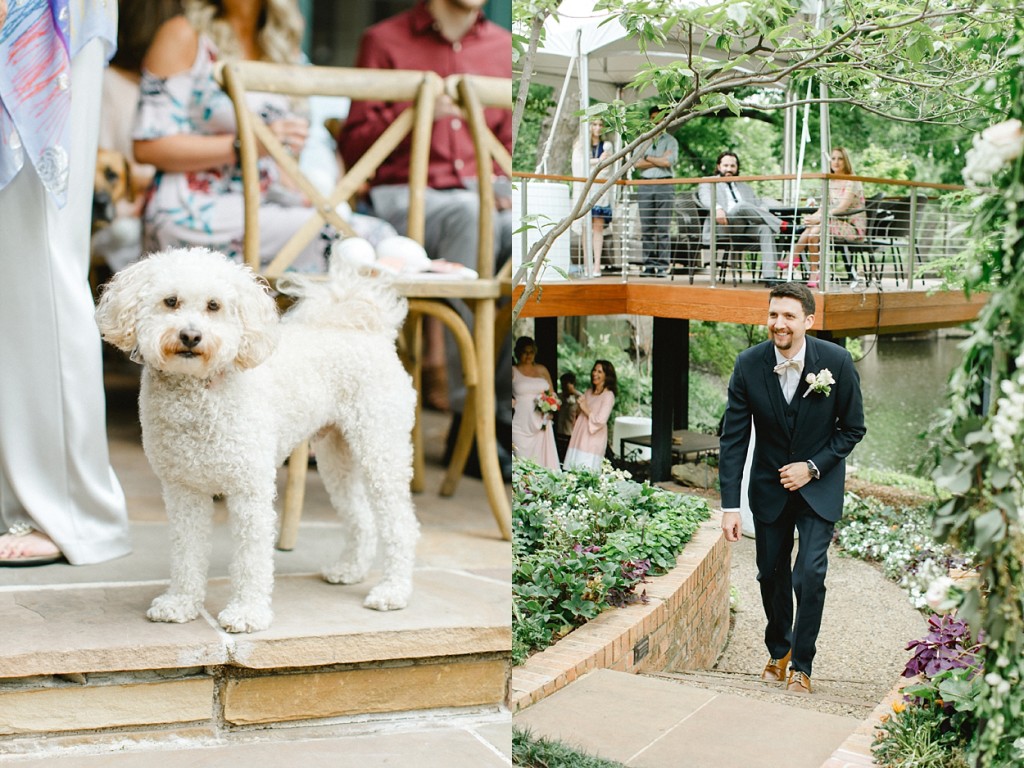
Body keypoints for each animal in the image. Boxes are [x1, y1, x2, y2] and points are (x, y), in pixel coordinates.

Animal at [94, 249, 417, 634]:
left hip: (380, 446)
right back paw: (349, 570)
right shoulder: (183, 490)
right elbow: (186, 551)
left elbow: (251, 558)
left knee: (400, 524)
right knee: (360, 515)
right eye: (170, 301)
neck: (199, 394)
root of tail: (362, 327)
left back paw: (394, 591)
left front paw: (247, 613)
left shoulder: (250, 489)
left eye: (214, 305)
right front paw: (181, 602)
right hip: (336, 456)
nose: (190, 336)